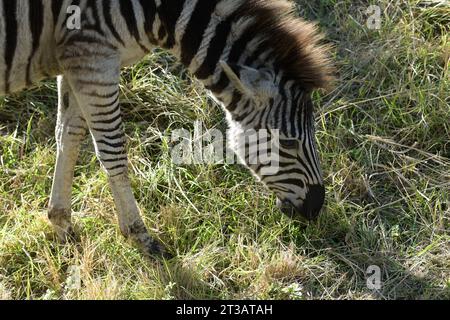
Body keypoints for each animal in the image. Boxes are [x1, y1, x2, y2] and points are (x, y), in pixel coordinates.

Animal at [0, 0, 334, 258]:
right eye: (288, 143)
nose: (317, 208)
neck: (159, 11)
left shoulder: (75, 59)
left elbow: (67, 135)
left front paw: (61, 223)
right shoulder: (95, 58)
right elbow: (112, 151)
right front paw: (140, 236)